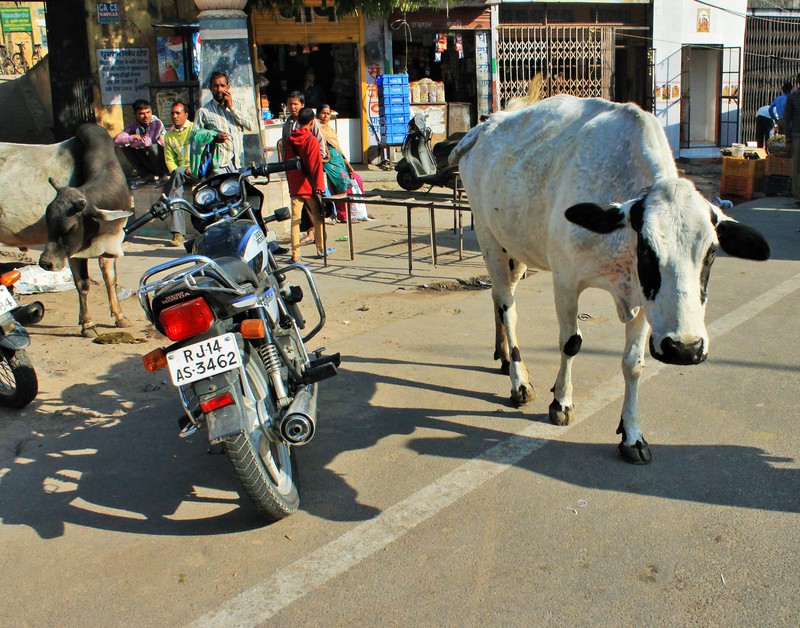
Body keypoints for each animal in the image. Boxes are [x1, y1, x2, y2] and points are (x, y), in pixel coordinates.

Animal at [450, 95, 768, 464]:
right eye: (646, 249)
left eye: (712, 252)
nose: (684, 349)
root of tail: (486, 125)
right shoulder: (566, 282)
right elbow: (571, 343)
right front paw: (561, 402)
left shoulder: (644, 300)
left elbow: (634, 363)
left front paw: (632, 435)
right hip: (490, 240)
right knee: (507, 306)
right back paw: (519, 382)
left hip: (515, 248)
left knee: (499, 301)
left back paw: (503, 358)